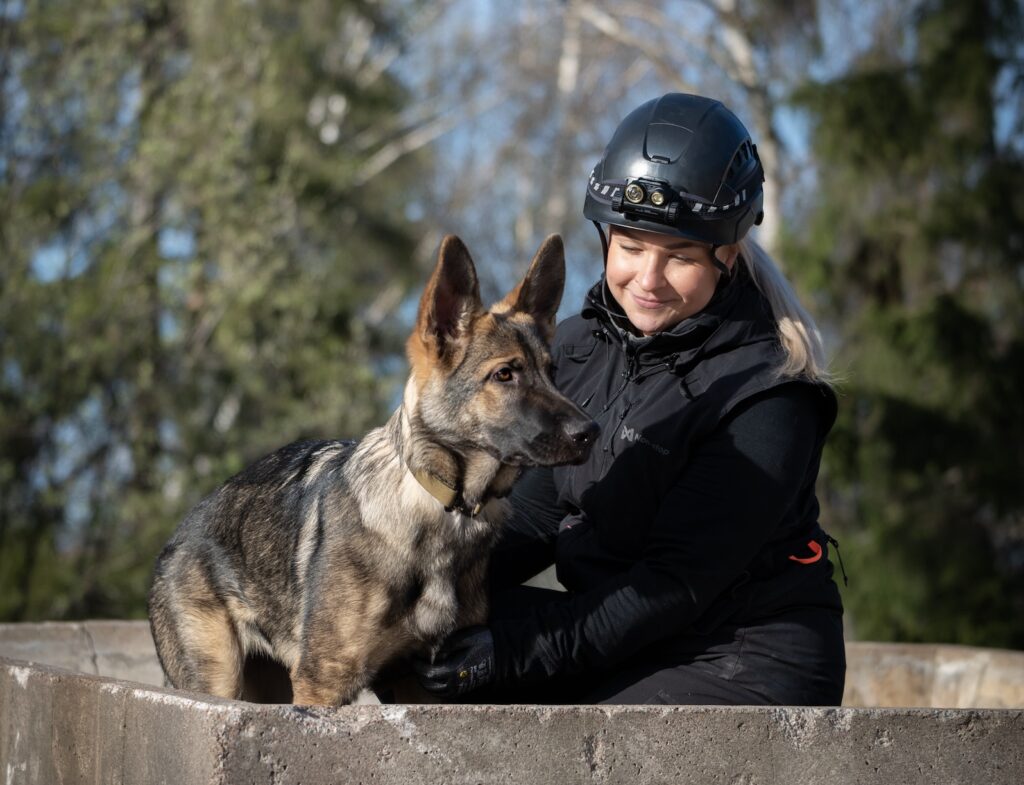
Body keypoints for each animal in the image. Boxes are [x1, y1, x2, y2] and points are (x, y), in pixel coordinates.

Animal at [148, 233, 598, 704]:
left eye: (551, 372)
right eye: (505, 374)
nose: (591, 432)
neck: (444, 506)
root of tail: (180, 533)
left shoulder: (426, 685)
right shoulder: (322, 681)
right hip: (220, 683)